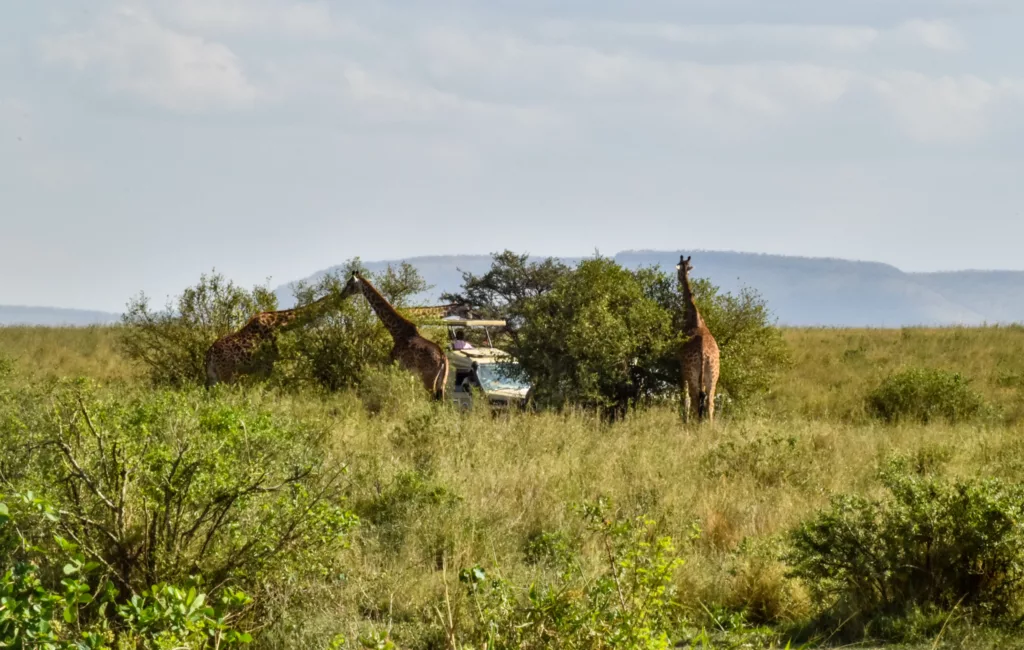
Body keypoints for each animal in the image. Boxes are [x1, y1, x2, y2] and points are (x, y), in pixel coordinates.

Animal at [205, 296, 333, 391]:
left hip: (213, 375)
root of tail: (210, 355)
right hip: (227, 373)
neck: (279, 323)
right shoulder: (268, 363)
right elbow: (263, 388)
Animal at [675, 256, 724, 423]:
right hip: (713, 374)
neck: (695, 319)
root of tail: (703, 354)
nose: (679, 278)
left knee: (696, 399)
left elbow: (685, 399)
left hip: (692, 374)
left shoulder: (682, 370)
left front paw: (685, 420)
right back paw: (708, 426)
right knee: (710, 401)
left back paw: (694, 424)